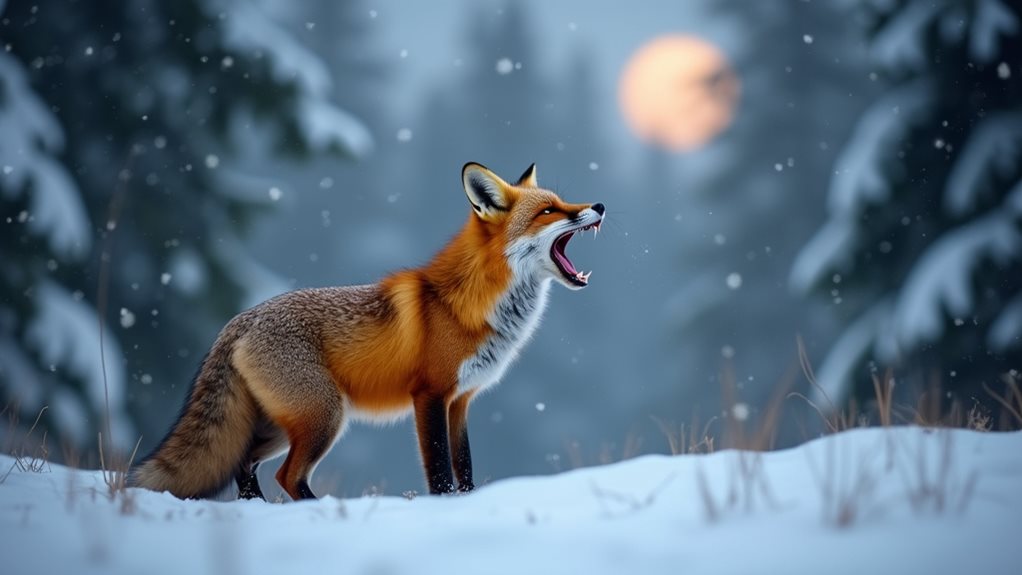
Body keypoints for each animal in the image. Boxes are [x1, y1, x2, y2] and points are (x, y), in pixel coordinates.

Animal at [128, 162, 605, 500]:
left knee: (244, 467)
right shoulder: (429, 394)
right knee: (286, 476)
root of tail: (237, 321)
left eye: (562, 202)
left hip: (279, 427)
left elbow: (465, 467)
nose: (599, 207)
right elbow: (440, 471)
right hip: (323, 417)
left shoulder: (461, 401)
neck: (471, 304)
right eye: (548, 211)